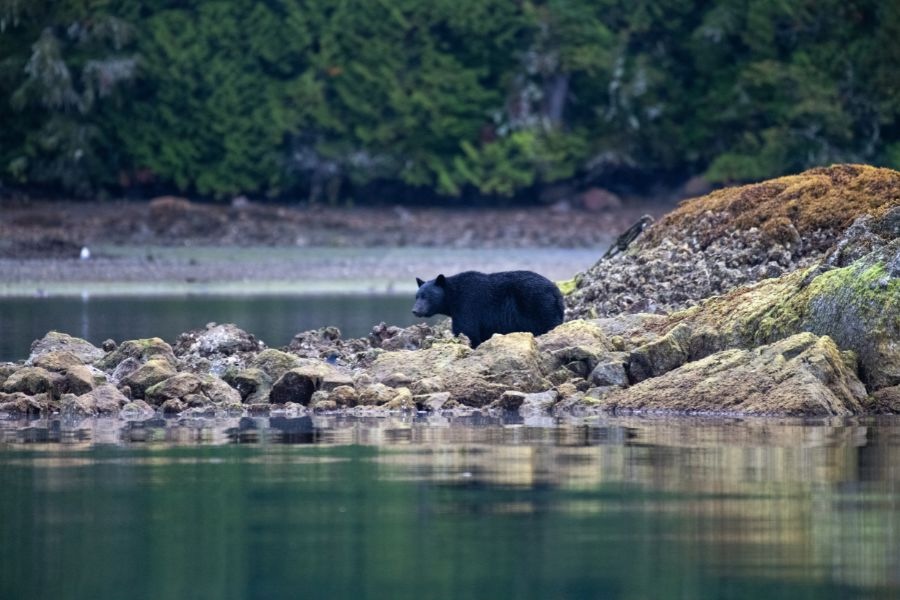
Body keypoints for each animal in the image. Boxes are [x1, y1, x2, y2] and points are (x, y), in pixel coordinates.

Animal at [412, 270, 565, 348]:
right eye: (417, 296)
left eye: (426, 297)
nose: (415, 310)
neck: (452, 296)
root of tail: (555, 291)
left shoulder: (467, 304)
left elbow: (467, 329)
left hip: (537, 304)